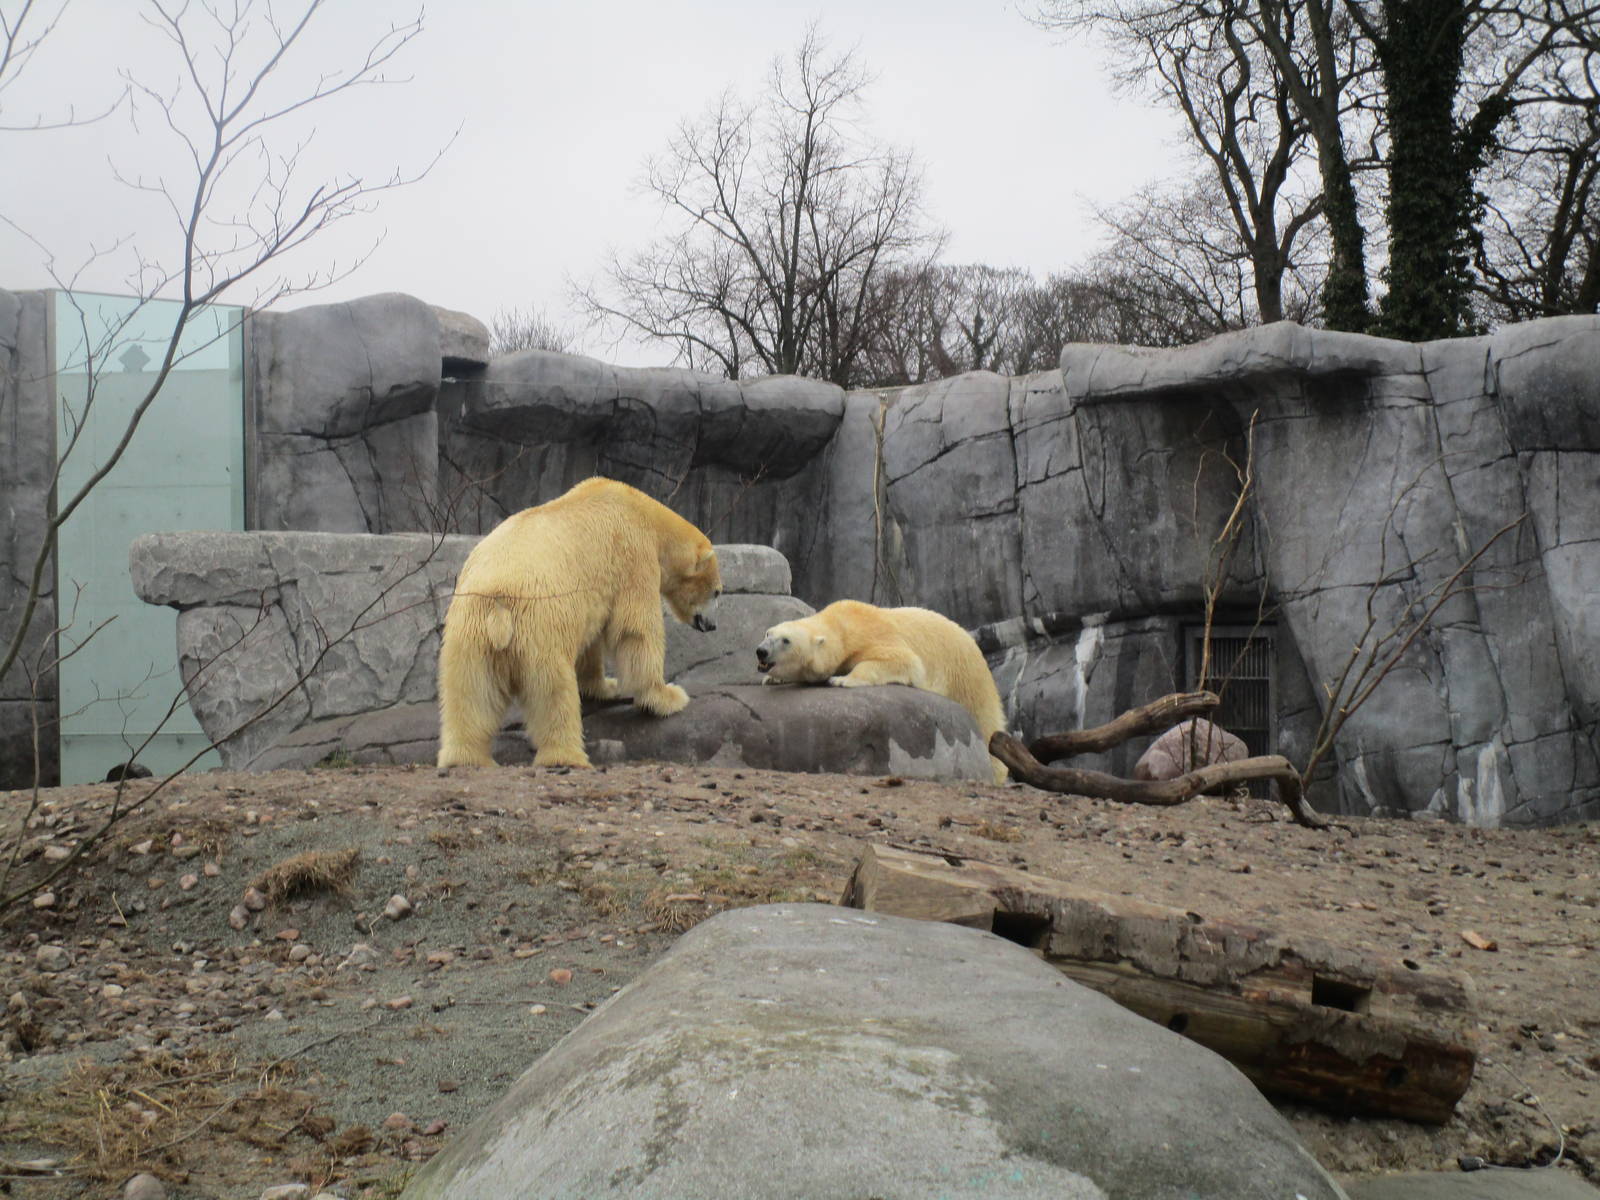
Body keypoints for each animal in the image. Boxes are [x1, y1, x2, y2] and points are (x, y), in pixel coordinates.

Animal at [436, 477, 721, 769]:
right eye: (717, 592)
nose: (712, 626)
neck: (643, 512)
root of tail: (499, 609)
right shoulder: (633, 555)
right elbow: (635, 630)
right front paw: (668, 697)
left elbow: (592, 640)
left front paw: (605, 686)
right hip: (539, 628)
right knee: (553, 692)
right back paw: (566, 757)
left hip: (470, 636)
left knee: (469, 695)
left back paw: (465, 758)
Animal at [755, 599, 1010, 784]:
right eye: (768, 633)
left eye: (786, 640)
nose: (761, 651)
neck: (842, 622)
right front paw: (772, 678)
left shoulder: (872, 635)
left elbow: (903, 660)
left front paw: (841, 679)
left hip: (967, 678)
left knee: (985, 718)